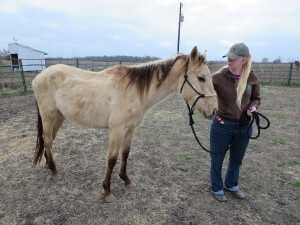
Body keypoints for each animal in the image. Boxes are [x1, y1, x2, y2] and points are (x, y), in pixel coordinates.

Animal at [31, 45, 217, 202]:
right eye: (201, 78)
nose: (214, 111)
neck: (134, 91)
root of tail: (39, 76)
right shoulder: (117, 130)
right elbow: (112, 159)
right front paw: (107, 191)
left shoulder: (130, 129)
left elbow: (125, 154)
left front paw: (126, 179)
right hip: (48, 115)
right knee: (47, 140)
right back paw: (54, 171)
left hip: (59, 117)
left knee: (49, 140)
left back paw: (48, 165)